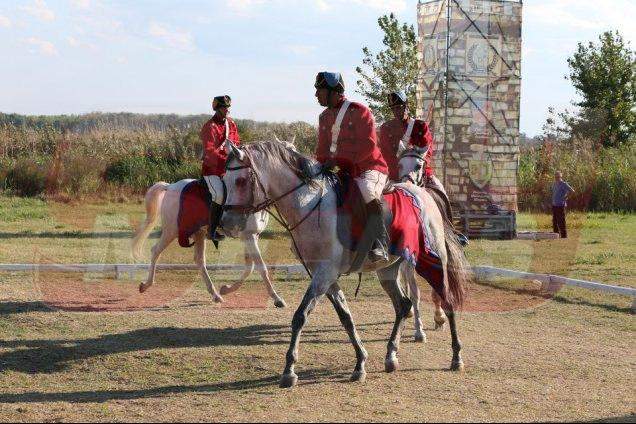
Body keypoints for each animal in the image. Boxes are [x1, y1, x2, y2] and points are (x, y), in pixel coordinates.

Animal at [221, 142, 470, 388]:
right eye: (224, 179)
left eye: (240, 181)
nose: (227, 224)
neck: (310, 205)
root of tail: (423, 194)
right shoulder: (324, 275)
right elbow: (345, 317)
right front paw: (360, 362)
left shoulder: (324, 274)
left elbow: (300, 316)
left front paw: (289, 370)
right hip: (388, 270)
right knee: (403, 304)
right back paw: (391, 355)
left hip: (431, 261)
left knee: (446, 301)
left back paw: (456, 356)